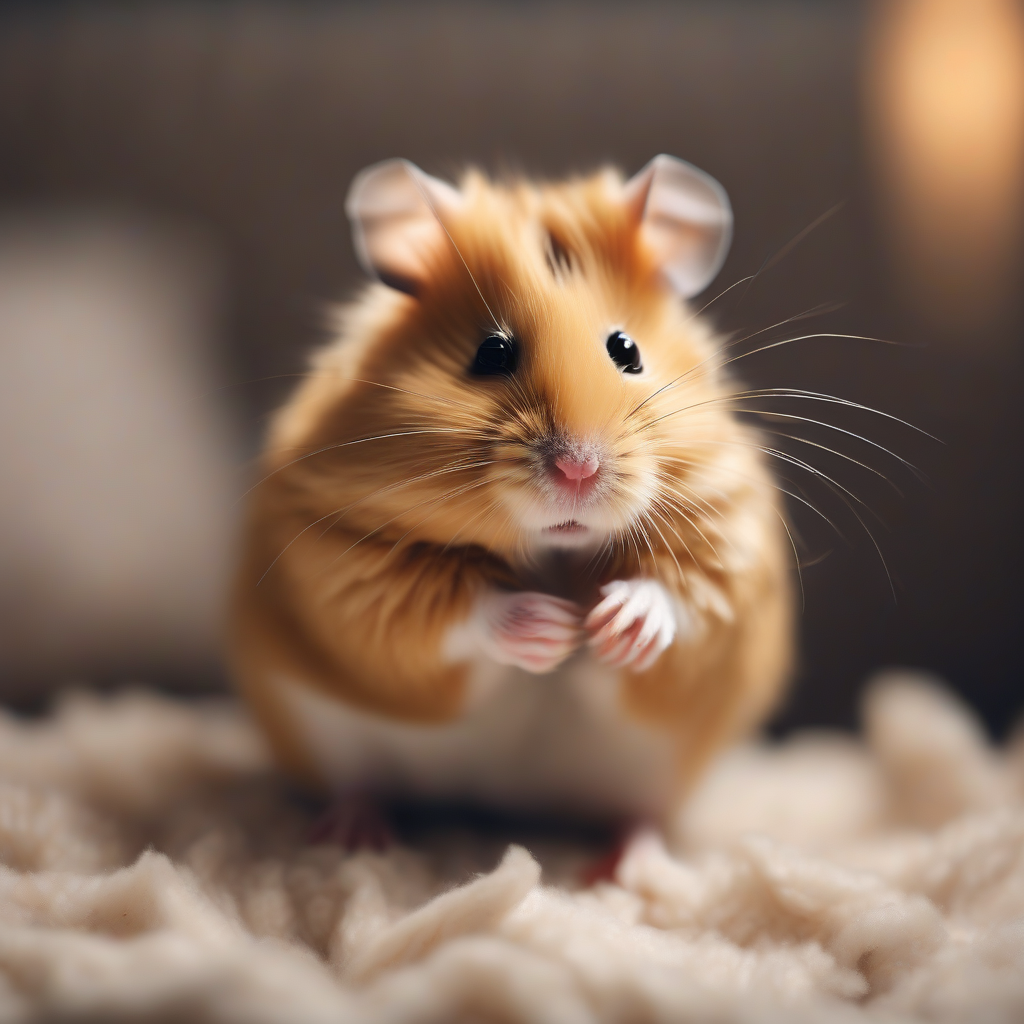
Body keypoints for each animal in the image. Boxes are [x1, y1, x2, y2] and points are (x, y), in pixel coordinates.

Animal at [228, 155, 794, 829]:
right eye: (491, 352)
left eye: (626, 350)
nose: (578, 470)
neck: (555, 552)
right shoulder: (341, 559)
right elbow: (451, 611)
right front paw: (553, 628)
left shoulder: (729, 534)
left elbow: (683, 597)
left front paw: (612, 624)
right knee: (357, 786)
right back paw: (352, 833)